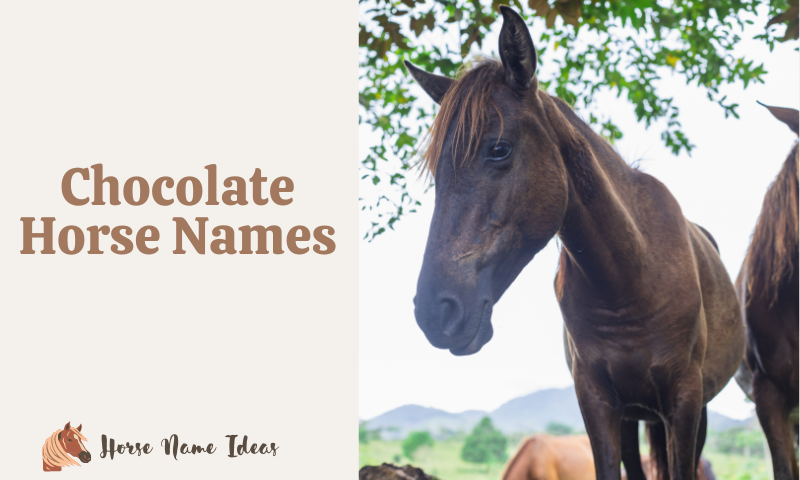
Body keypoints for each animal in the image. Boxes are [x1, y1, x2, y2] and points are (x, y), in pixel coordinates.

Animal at [406, 6, 744, 480]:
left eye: (498, 149)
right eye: (437, 169)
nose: (435, 312)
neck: (632, 279)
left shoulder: (685, 400)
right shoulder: (598, 403)